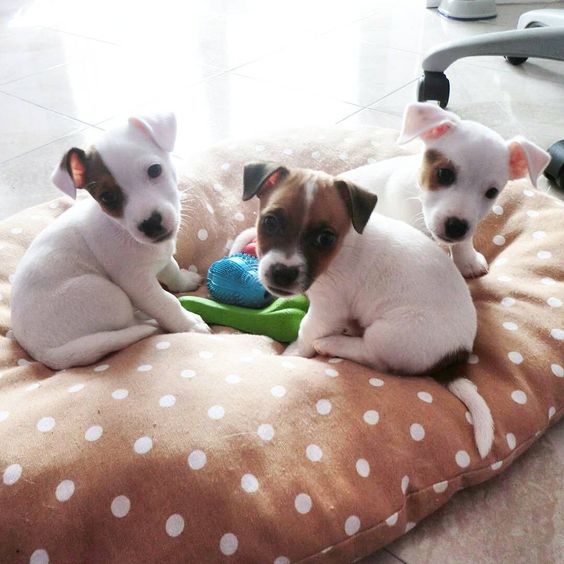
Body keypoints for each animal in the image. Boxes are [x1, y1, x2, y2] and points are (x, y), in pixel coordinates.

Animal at [11, 113, 209, 372]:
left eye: (155, 170)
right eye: (107, 197)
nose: (151, 224)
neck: (124, 231)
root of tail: (44, 354)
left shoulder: (163, 258)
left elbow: (173, 270)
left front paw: (185, 280)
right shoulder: (138, 284)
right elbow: (166, 303)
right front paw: (188, 323)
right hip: (108, 294)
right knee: (129, 322)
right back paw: (147, 322)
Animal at [234, 162, 494, 458]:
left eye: (325, 238)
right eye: (269, 222)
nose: (282, 273)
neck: (343, 247)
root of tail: (457, 355)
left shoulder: (327, 309)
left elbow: (306, 332)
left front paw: (293, 352)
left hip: (389, 333)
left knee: (372, 356)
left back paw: (333, 343)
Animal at [340, 102, 552, 278]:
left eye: (492, 192)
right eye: (444, 174)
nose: (456, 227)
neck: (416, 198)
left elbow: (463, 243)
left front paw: (467, 260)